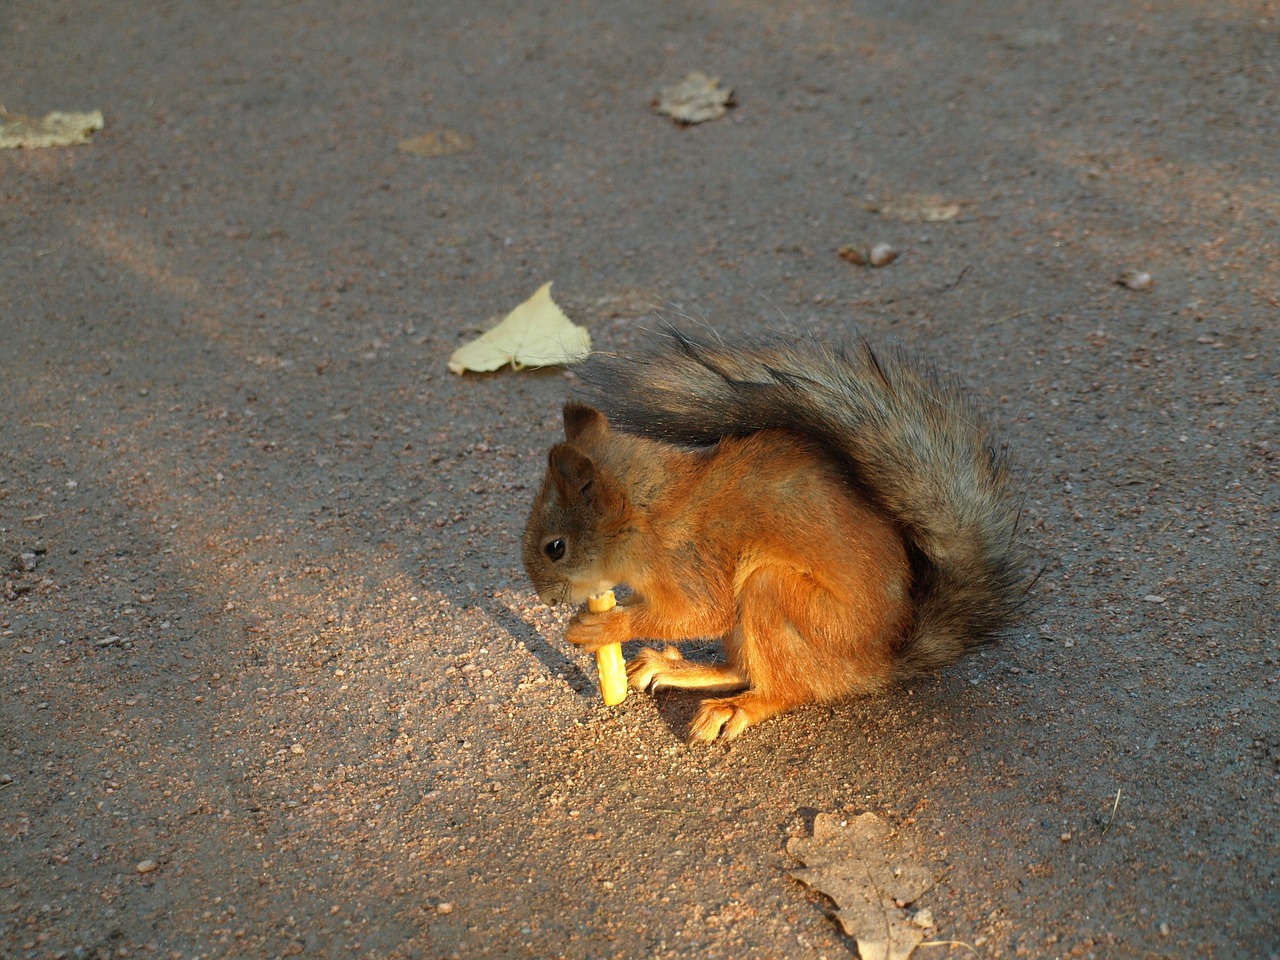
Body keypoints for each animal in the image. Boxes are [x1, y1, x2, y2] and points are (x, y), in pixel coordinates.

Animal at [519, 330, 1029, 742]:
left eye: (555, 547)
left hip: (773, 592)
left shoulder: (690, 561)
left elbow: (701, 613)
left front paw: (603, 626)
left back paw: (736, 708)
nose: (543, 599)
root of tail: (876, 666)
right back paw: (676, 667)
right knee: (739, 667)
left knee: (783, 689)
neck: (648, 514)